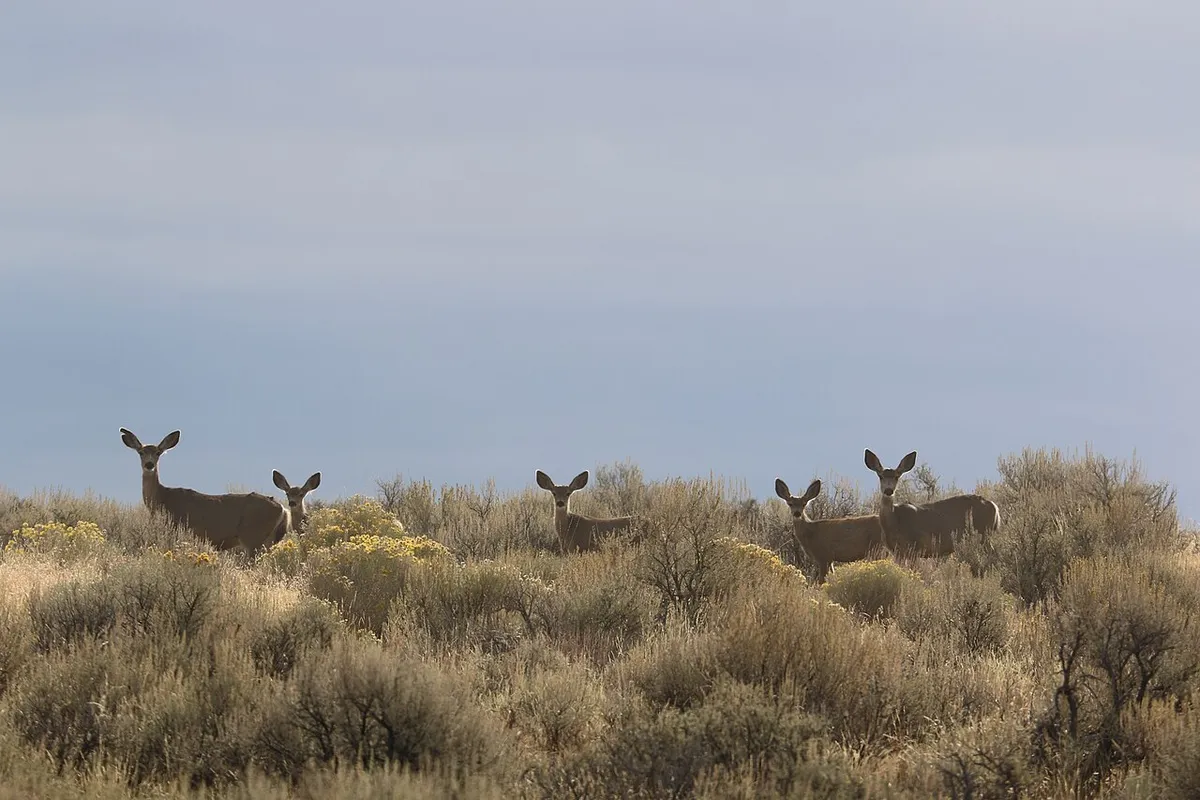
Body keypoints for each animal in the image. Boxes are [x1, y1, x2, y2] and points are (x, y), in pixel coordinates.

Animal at [120, 428, 289, 557]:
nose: (149, 465)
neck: (161, 498)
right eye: (141, 452)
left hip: (252, 536)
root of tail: (283, 509)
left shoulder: (175, 528)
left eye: (158, 453)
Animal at [863, 449, 1001, 558]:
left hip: (983, 533)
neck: (893, 521)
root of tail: (994, 506)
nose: (888, 490)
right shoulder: (897, 552)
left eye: (897, 476)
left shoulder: (914, 547)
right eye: (880, 476)